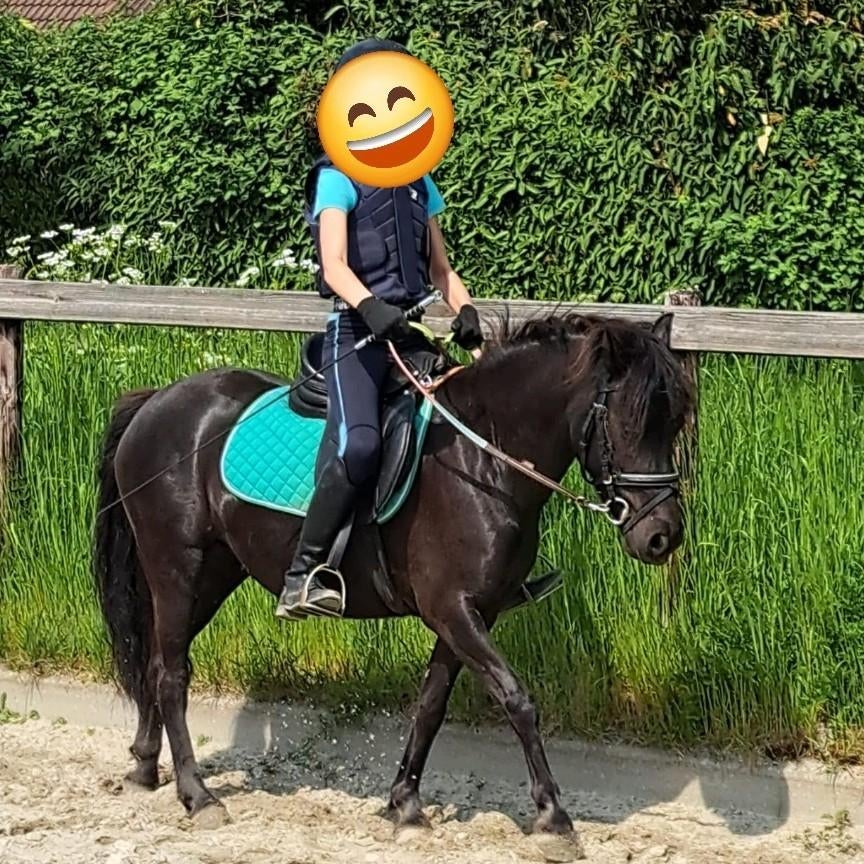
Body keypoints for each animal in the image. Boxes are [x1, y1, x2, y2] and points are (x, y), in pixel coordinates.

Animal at [92, 309, 694, 846]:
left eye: (674, 423)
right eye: (630, 422)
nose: (661, 536)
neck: (482, 459)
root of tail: (158, 402)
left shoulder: (468, 614)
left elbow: (430, 705)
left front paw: (404, 804)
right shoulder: (454, 609)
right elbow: (517, 698)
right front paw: (553, 817)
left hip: (213, 573)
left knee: (155, 662)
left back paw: (145, 768)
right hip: (178, 566)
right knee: (172, 674)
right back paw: (198, 796)